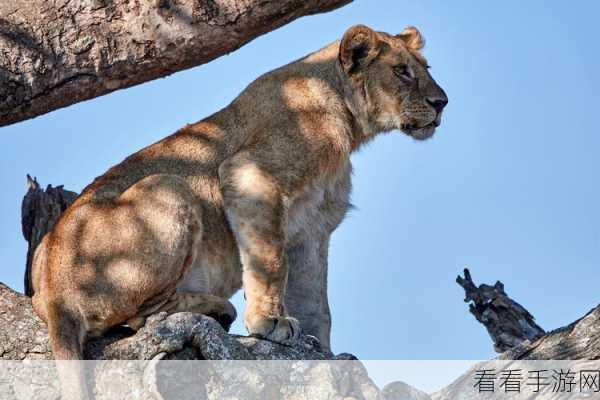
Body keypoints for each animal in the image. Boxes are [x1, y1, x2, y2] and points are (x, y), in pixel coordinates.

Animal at [30, 25, 448, 400]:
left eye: (426, 67)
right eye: (401, 71)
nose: (442, 102)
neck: (347, 120)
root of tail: (54, 292)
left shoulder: (314, 227)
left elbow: (316, 301)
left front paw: (325, 354)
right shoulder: (249, 173)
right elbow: (271, 261)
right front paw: (269, 323)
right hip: (169, 185)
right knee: (142, 316)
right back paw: (219, 309)